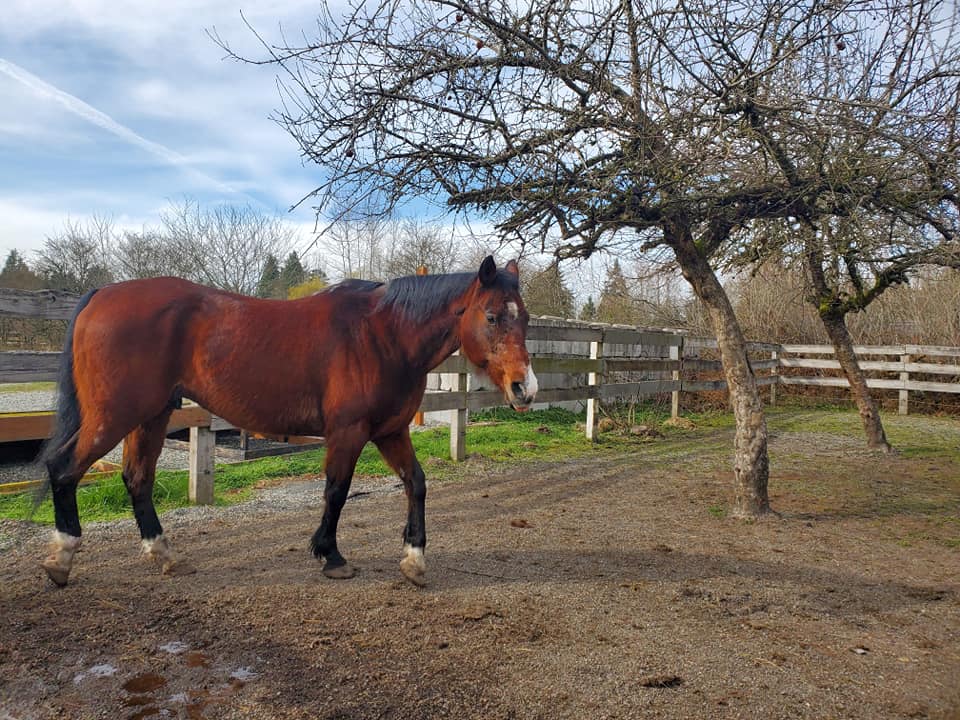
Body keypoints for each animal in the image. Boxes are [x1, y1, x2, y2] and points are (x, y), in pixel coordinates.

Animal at [39, 256, 532, 588]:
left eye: (525, 317)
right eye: (491, 316)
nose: (524, 388)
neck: (382, 335)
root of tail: (101, 295)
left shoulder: (390, 431)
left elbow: (417, 483)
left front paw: (414, 559)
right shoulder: (349, 432)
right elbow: (337, 490)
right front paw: (331, 556)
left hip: (151, 415)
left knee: (137, 478)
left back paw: (165, 555)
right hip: (114, 415)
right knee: (64, 469)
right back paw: (62, 558)